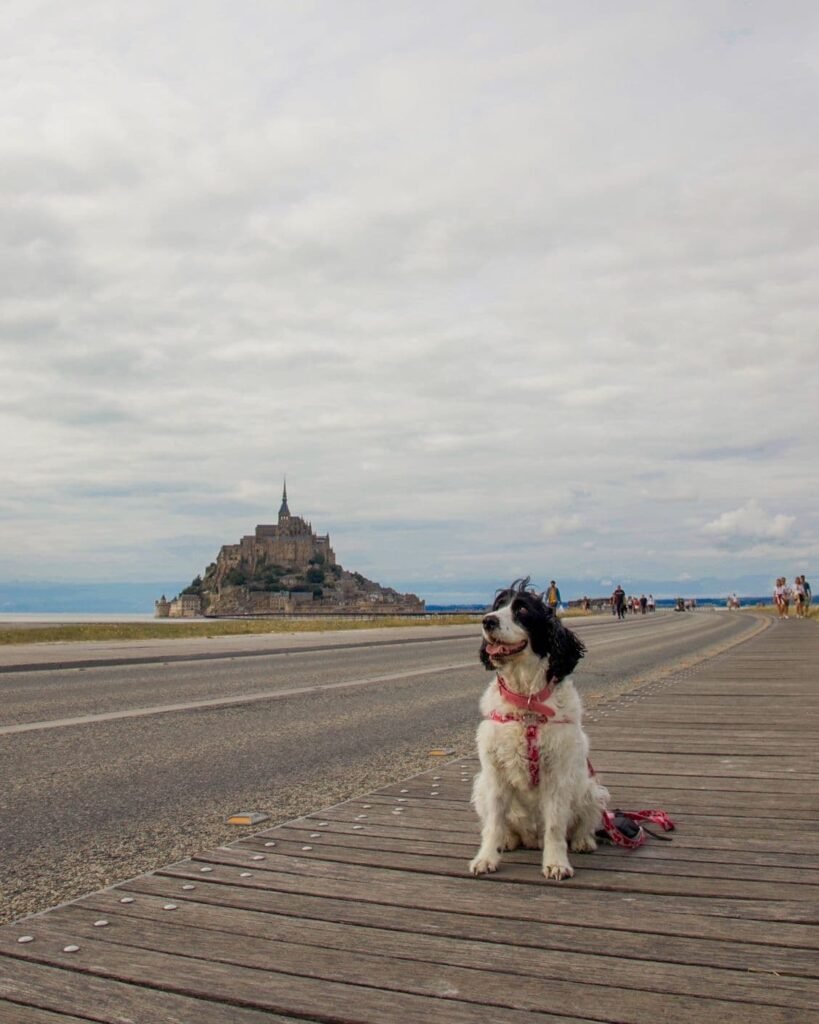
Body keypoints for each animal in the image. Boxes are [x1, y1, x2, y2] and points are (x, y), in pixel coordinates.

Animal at [466, 577, 606, 880]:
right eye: (498, 605)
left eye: (522, 609)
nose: (487, 620)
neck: (526, 702)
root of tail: (532, 838)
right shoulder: (494, 773)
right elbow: (492, 824)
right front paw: (486, 858)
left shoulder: (557, 774)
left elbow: (555, 826)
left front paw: (556, 863)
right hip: (480, 786)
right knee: (506, 826)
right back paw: (508, 840)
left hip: (592, 789)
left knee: (584, 823)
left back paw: (583, 841)